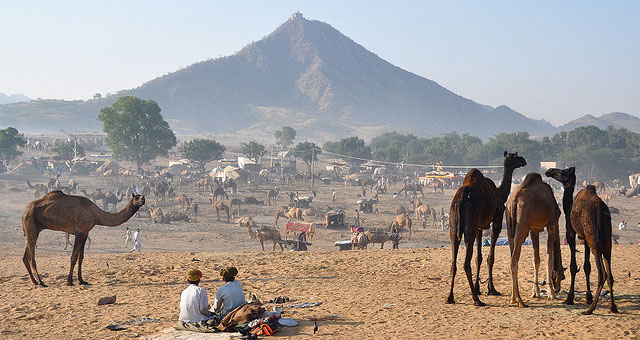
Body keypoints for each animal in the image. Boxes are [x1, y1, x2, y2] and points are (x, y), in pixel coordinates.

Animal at [448, 151, 528, 306]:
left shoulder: (480, 227)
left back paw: (450, 297)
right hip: (470, 227)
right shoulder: (496, 221)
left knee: (453, 262)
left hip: (454, 227)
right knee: (465, 263)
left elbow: (478, 258)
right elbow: (490, 257)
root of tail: (461, 199)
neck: (499, 193)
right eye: (515, 156)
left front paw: (478, 288)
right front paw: (492, 289)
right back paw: (477, 300)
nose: (524, 160)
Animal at [504, 174, 564, 306]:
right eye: (562, 277)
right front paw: (551, 294)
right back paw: (519, 300)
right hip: (522, 226)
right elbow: (549, 258)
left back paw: (512, 297)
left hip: (509, 224)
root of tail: (513, 202)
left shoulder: (534, 229)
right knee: (513, 262)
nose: (558, 288)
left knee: (512, 256)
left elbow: (536, 260)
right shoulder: (552, 225)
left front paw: (535, 292)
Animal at [544, 169, 620, 314]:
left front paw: (570, 298)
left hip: (593, 237)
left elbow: (573, 266)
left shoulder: (571, 233)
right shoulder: (584, 238)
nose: (549, 171)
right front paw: (588, 297)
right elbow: (586, 266)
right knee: (610, 273)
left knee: (602, 274)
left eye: (563, 172)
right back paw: (613, 307)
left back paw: (590, 309)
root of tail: (600, 210)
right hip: (606, 239)